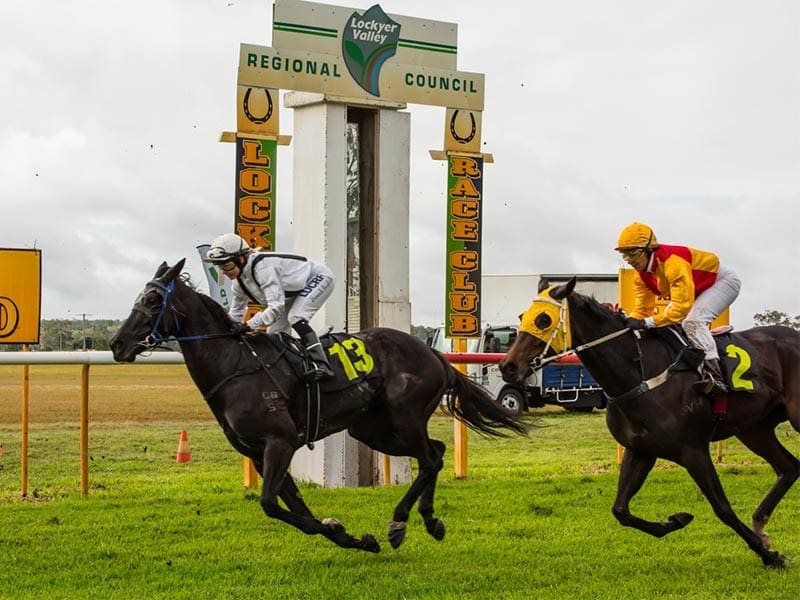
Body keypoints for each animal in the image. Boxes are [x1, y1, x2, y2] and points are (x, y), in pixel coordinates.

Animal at [109, 258, 528, 552]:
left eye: (151, 300)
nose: (116, 344)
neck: (235, 364)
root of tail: (433, 354)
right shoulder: (259, 453)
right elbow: (293, 506)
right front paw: (351, 537)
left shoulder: (279, 443)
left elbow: (272, 505)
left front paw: (345, 531)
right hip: (371, 429)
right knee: (437, 452)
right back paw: (428, 521)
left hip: (404, 416)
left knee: (428, 459)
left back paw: (399, 523)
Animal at [496, 276, 796, 568]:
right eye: (522, 316)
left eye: (543, 319)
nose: (508, 366)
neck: (639, 376)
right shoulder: (640, 450)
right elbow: (620, 510)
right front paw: (676, 520)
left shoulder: (693, 450)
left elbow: (722, 508)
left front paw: (769, 555)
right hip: (754, 429)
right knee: (790, 467)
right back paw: (760, 522)